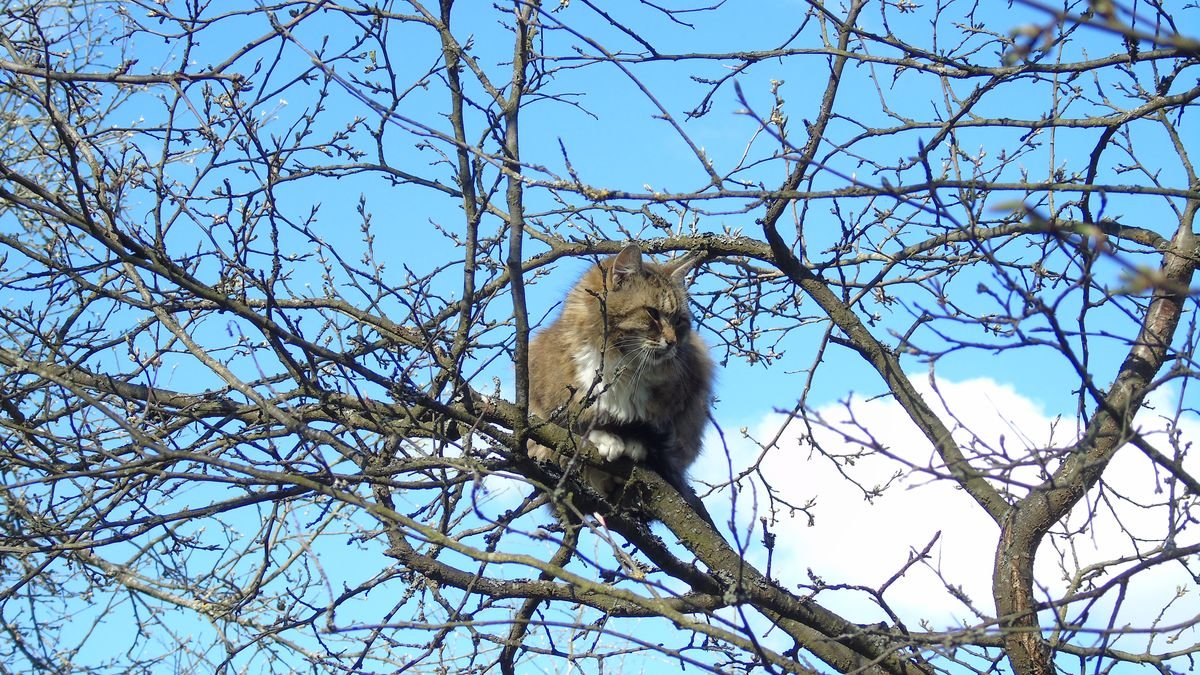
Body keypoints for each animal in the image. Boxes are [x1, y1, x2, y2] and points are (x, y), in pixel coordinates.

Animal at [525, 243, 710, 523]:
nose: (673, 343)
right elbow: (581, 426)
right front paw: (607, 439)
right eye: (653, 314)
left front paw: (633, 444)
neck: (624, 365)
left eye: (679, 321)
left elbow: (644, 432)